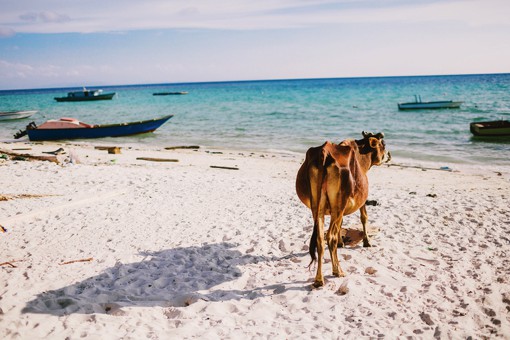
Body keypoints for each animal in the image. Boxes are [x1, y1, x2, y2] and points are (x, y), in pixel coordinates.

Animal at [294, 131, 390, 286]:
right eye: (383, 144)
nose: (388, 155)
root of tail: (324, 152)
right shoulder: (361, 200)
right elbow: (364, 218)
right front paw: (367, 242)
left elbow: (341, 224)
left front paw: (341, 242)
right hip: (338, 205)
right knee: (329, 236)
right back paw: (337, 270)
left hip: (317, 208)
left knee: (320, 238)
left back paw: (319, 279)